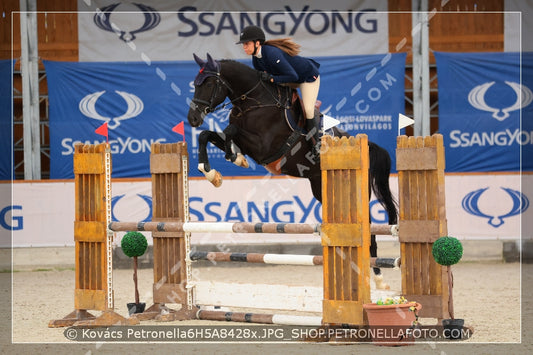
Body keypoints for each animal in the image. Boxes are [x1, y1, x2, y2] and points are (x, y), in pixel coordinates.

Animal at [187, 55, 394, 290]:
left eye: (209, 84)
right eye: (195, 84)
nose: (193, 118)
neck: (254, 101)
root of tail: (365, 145)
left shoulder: (263, 146)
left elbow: (230, 131)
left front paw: (234, 158)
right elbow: (206, 135)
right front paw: (212, 172)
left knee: (370, 231)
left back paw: (378, 279)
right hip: (320, 188)